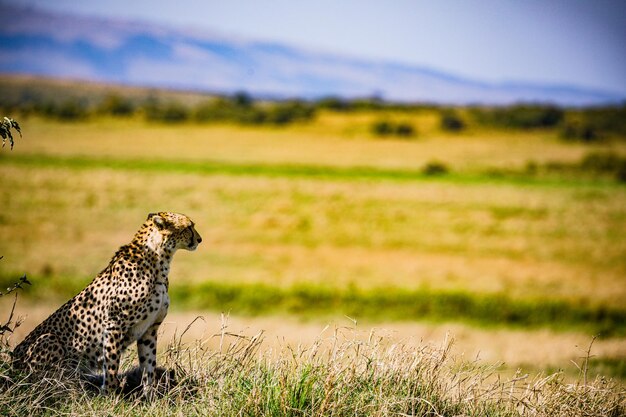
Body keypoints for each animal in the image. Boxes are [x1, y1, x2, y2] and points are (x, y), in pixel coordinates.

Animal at [12, 213, 202, 394]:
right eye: (189, 227)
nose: (200, 239)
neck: (159, 261)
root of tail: (12, 361)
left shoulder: (149, 329)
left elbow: (149, 369)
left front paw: (151, 398)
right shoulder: (114, 325)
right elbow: (111, 368)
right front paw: (110, 397)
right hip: (49, 340)